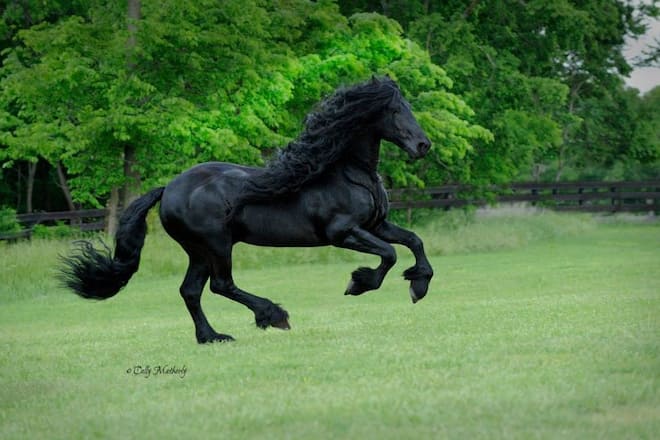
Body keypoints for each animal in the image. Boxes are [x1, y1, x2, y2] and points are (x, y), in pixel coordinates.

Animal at [59, 77, 434, 343]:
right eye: (395, 111)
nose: (423, 145)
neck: (347, 173)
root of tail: (169, 189)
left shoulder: (378, 225)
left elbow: (413, 241)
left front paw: (419, 285)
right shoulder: (342, 233)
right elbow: (389, 255)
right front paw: (359, 283)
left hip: (199, 252)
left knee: (190, 291)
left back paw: (211, 337)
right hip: (217, 245)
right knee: (221, 285)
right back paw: (273, 315)